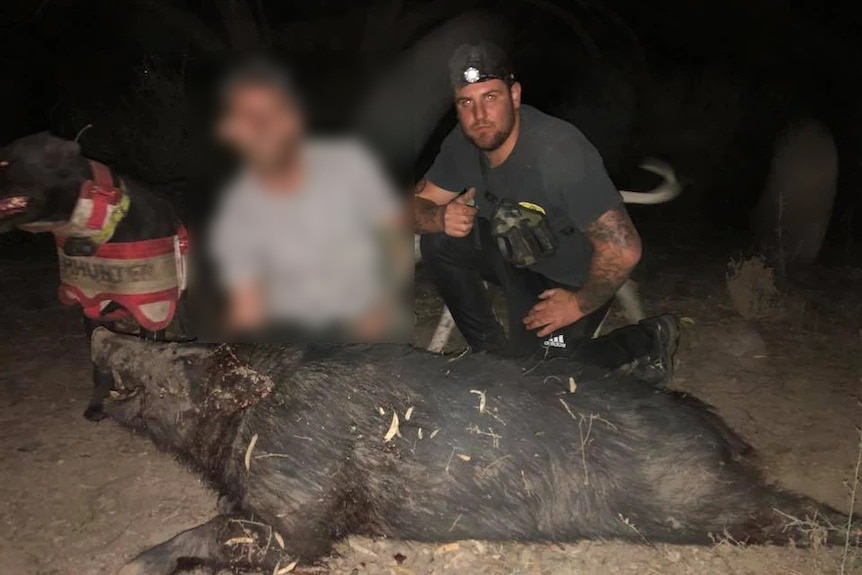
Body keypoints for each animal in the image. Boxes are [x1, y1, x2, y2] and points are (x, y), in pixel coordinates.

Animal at [0, 133, 191, 420]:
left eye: (3, 162)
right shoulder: (91, 304)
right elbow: (99, 363)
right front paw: (97, 404)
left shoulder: (155, 306)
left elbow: (147, 354)